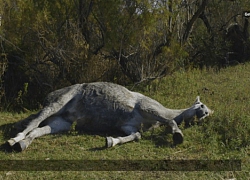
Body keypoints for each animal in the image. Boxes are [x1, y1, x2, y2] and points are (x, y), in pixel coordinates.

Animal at [6, 82, 212, 151]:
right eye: (202, 105)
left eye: (207, 111)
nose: (204, 115)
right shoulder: (148, 108)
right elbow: (169, 121)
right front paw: (177, 135)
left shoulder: (129, 126)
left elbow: (136, 135)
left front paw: (111, 141)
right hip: (56, 104)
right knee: (33, 123)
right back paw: (13, 140)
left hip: (61, 123)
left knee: (37, 130)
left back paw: (21, 145)